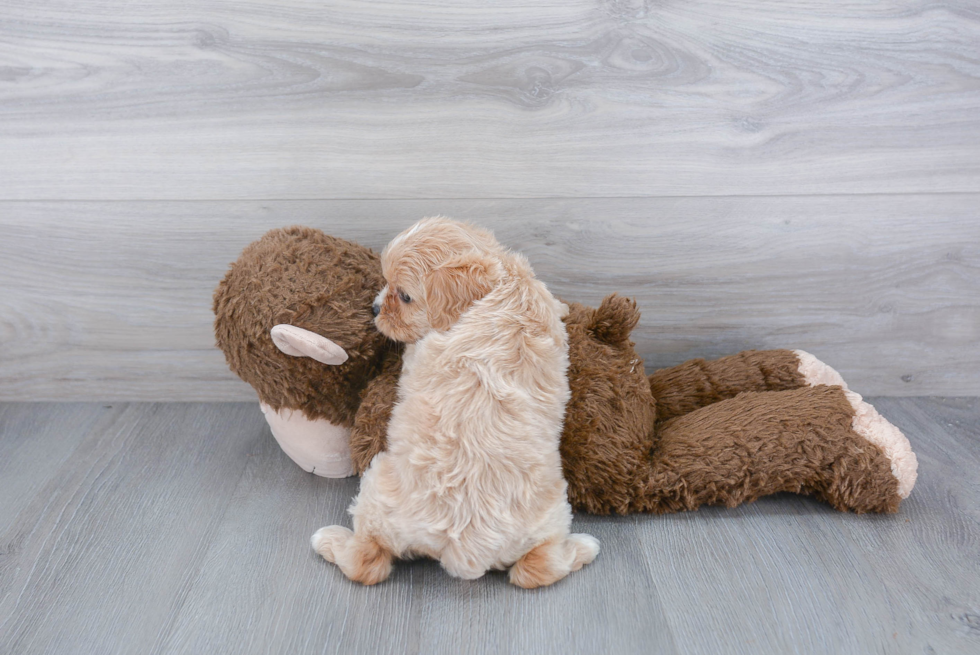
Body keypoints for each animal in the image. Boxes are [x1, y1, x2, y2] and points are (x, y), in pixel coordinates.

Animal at [310, 217, 596, 588]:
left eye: (405, 296)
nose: (373, 309)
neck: (500, 289)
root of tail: (463, 550)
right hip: (551, 511)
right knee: (538, 567)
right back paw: (582, 548)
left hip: (376, 486)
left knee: (365, 562)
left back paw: (329, 540)